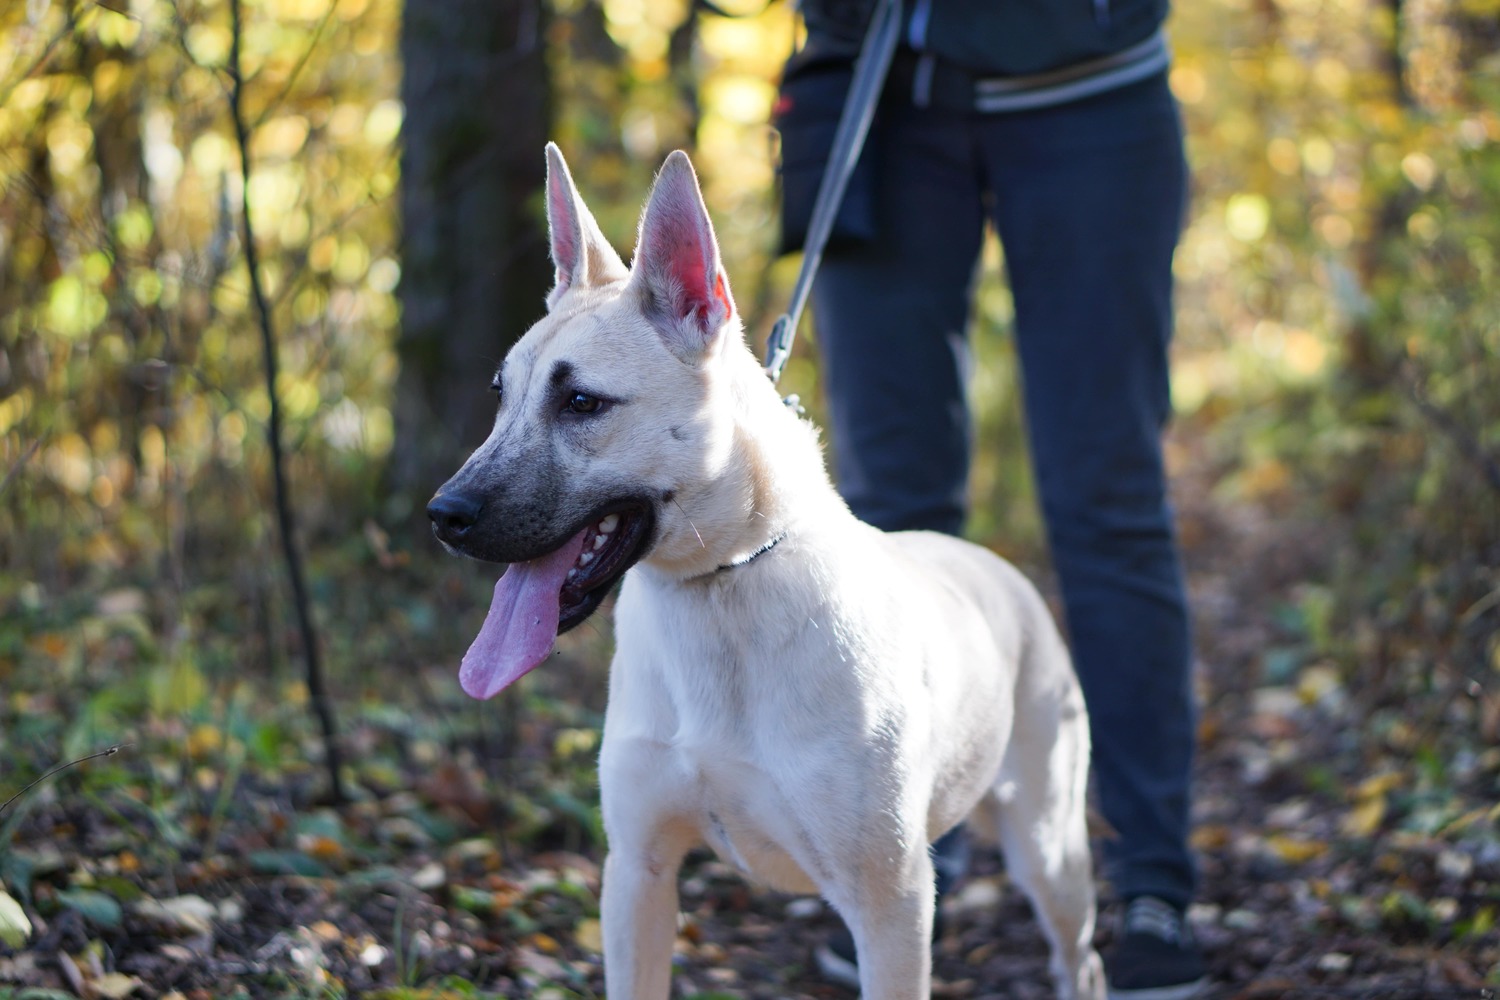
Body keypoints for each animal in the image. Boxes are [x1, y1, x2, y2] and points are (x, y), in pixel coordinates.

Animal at [429, 142, 1110, 1000]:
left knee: (1080, 956)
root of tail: (995, 568)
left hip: (1051, 849)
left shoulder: (889, 905)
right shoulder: (637, 874)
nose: (443, 514)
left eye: (582, 402)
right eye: (501, 394)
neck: (719, 587)